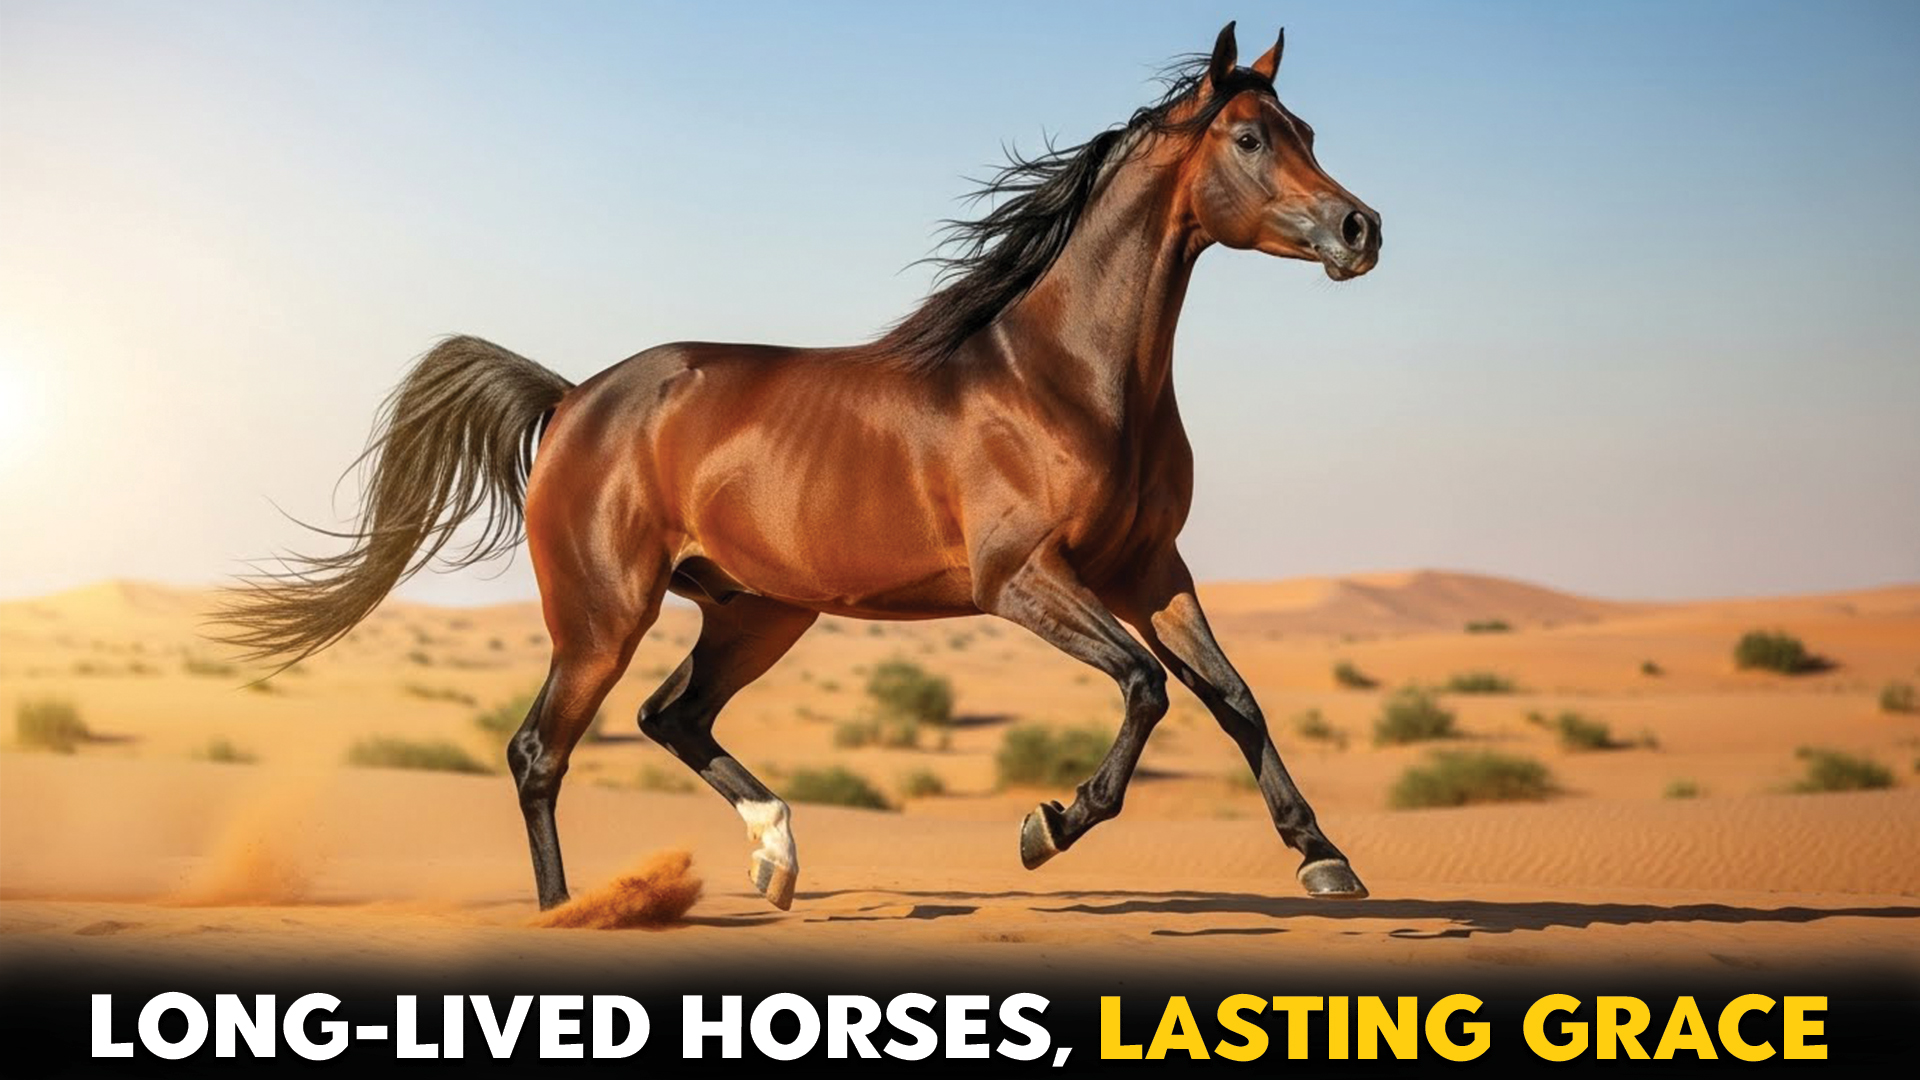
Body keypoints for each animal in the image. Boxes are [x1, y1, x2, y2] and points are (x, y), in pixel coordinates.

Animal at [221, 21, 1382, 912]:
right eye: (1248, 136)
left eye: (1308, 133)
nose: (1359, 228)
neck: (1064, 378)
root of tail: (572, 399)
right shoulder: (1024, 582)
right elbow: (1147, 688)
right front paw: (1047, 826)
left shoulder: (1150, 571)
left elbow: (1233, 697)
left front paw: (1325, 860)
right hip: (603, 615)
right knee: (540, 751)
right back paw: (569, 912)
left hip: (756, 611)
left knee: (670, 716)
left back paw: (774, 855)